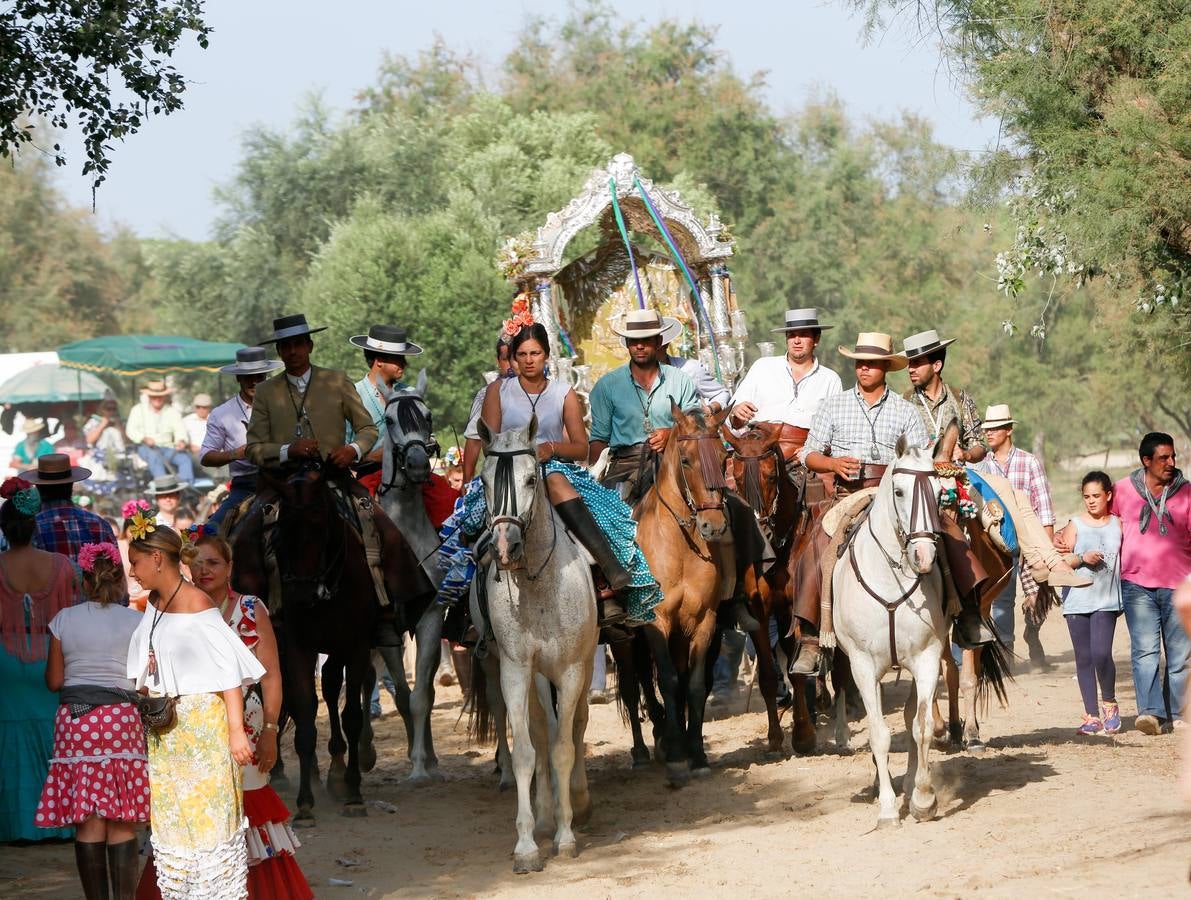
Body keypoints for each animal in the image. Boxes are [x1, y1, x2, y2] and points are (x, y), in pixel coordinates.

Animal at [474, 414, 600, 871]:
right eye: (484, 480)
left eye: (531, 479)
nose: (505, 547)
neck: (539, 584)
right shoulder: (516, 668)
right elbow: (529, 750)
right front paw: (528, 843)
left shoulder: (572, 669)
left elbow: (564, 746)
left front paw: (566, 836)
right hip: (534, 676)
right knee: (542, 729)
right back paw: (547, 813)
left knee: (576, 725)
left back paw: (577, 801)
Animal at [633, 404, 733, 785]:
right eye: (687, 460)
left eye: (724, 456)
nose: (713, 526)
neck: (679, 544)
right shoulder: (656, 622)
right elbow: (669, 680)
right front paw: (677, 754)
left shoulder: (705, 621)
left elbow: (694, 683)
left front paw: (697, 753)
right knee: (637, 684)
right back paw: (648, 746)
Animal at [719, 426, 824, 757]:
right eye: (736, 476)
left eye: (770, 476)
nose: (760, 531)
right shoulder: (759, 612)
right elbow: (767, 674)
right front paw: (775, 738)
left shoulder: (794, 609)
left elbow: (796, 669)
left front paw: (804, 735)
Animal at [833, 433, 943, 823]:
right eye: (898, 491)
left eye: (940, 492)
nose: (924, 556)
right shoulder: (863, 666)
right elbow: (879, 734)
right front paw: (887, 808)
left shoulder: (928, 657)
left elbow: (921, 726)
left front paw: (923, 798)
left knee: (912, 720)